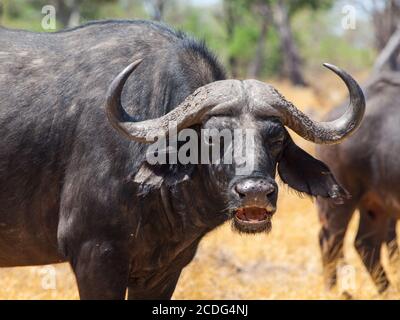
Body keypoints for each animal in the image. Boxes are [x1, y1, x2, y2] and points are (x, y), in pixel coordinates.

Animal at [316, 72, 400, 296]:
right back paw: (334, 291)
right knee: (330, 240)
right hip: (339, 202)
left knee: (365, 243)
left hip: (376, 205)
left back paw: (387, 291)